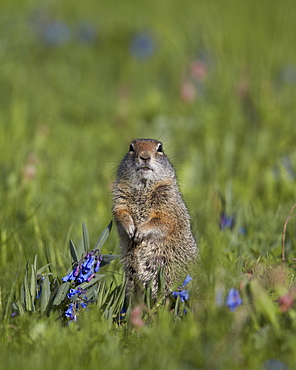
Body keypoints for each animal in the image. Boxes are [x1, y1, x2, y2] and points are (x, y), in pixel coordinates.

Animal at [112, 139, 198, 298]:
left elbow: (162, 221)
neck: (144, 187)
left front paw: (140, 231)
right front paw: (130, 228)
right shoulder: (120, 197)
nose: (145, 156)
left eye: (160, 148)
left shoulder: (167, 202)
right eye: (131, 147)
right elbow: (120, 213)